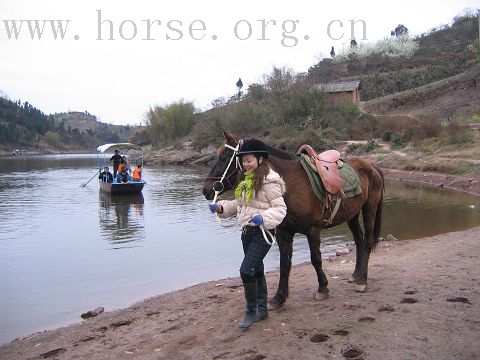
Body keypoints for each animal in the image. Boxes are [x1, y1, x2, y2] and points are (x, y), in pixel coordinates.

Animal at [202, 131, 386, 306]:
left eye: (223, 157)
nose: (206, 190)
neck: (289, 185)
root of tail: (372, 166)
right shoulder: (284, 232)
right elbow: (285, 264)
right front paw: (279, 297)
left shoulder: (313, 231)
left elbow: (316, 260)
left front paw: (322, 288)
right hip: (352, 215)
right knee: (359, 241)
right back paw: (356, 274)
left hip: (369, 209)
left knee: (367, 242)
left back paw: (362, 281)